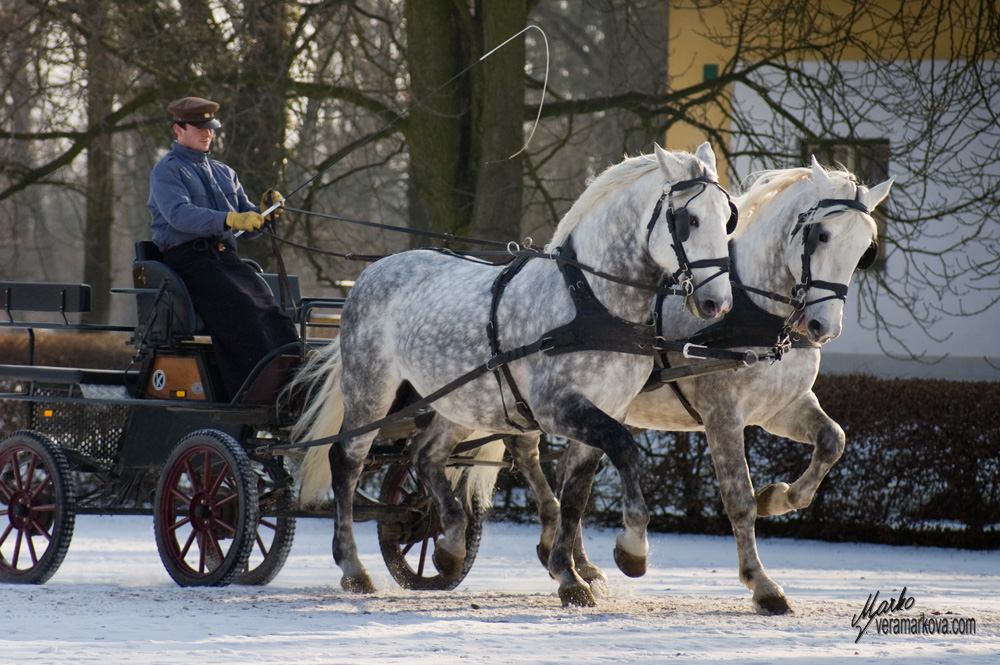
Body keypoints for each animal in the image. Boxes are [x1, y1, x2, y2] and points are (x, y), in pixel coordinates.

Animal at [294, 143, 736, 604]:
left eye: (728, 217)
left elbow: (575, 494)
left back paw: (450, 543)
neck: (591, 301)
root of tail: (369, 273)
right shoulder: (557, 408)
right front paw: (632, 547)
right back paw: (353, 566)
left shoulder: (605, 408)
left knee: (424, 455)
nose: (717, 303)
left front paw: (569, 574)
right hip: (372, 389)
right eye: (689, 220)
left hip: (459, 401)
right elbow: (625, 449)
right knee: (347, 461)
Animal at [512, 156, 896, 612]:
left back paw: (579, 563)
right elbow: (739, 498)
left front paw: (779, 496)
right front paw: (762, 583)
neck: (755, 308)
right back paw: (550, 542)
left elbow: (832, 441)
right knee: (528, 455)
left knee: (571, 473)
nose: (824, 327)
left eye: (865, 249)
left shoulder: (782, 407)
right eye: (822, 235)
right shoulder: (722, 415)